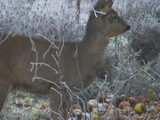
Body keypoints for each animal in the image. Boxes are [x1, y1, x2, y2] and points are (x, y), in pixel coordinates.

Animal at [0, 0, 130, 119]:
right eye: (114, 17)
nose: (128, 26)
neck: (81, 57)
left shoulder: (68, 90)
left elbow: (65, 114)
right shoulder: (56, 85)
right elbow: (56, 115)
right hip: (4, 79)